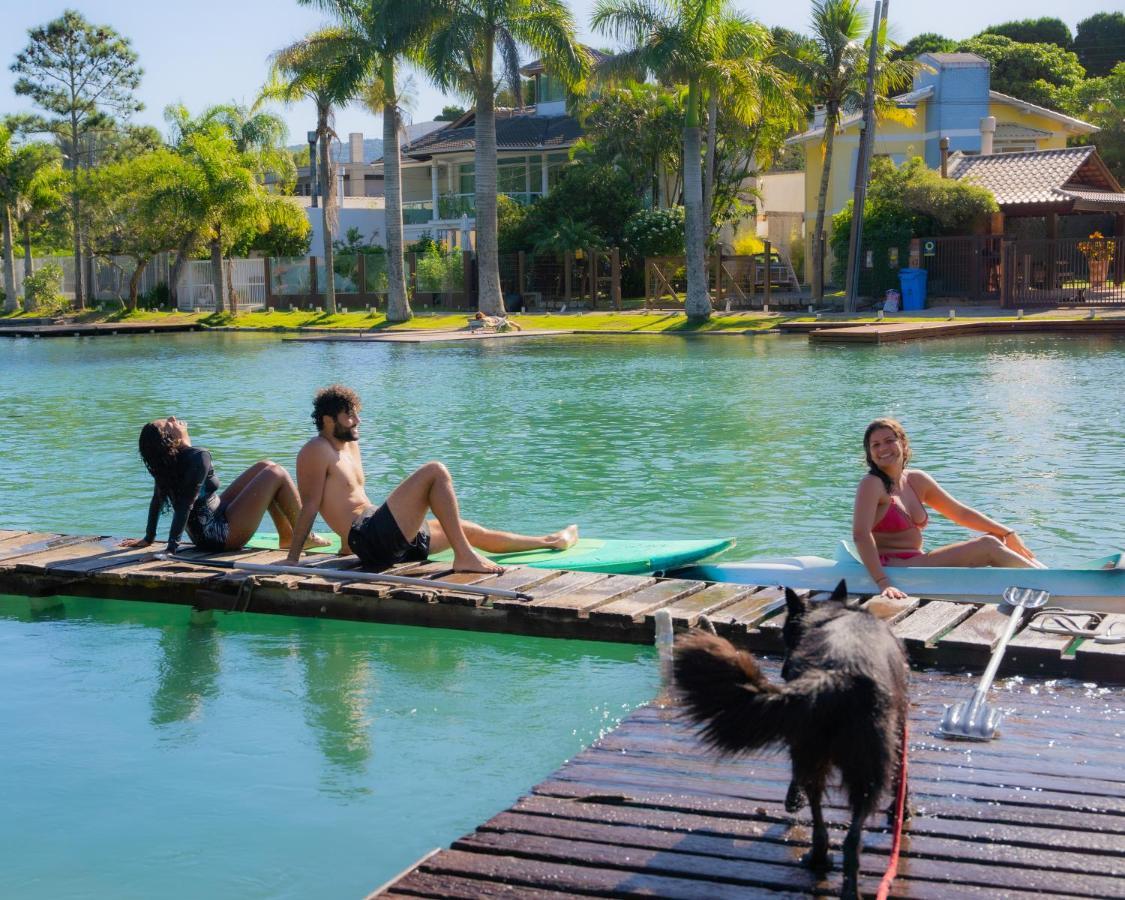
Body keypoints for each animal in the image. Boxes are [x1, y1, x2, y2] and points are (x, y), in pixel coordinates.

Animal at [670, 580, 909, 895]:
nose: (784, 670)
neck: (829, 615)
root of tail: (836, 674)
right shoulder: (901, 726)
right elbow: (902, 777)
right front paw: (903, 809)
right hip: (857, 764)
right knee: (842, 833)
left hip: (817, 752)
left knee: (828, 825)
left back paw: (824, 862)